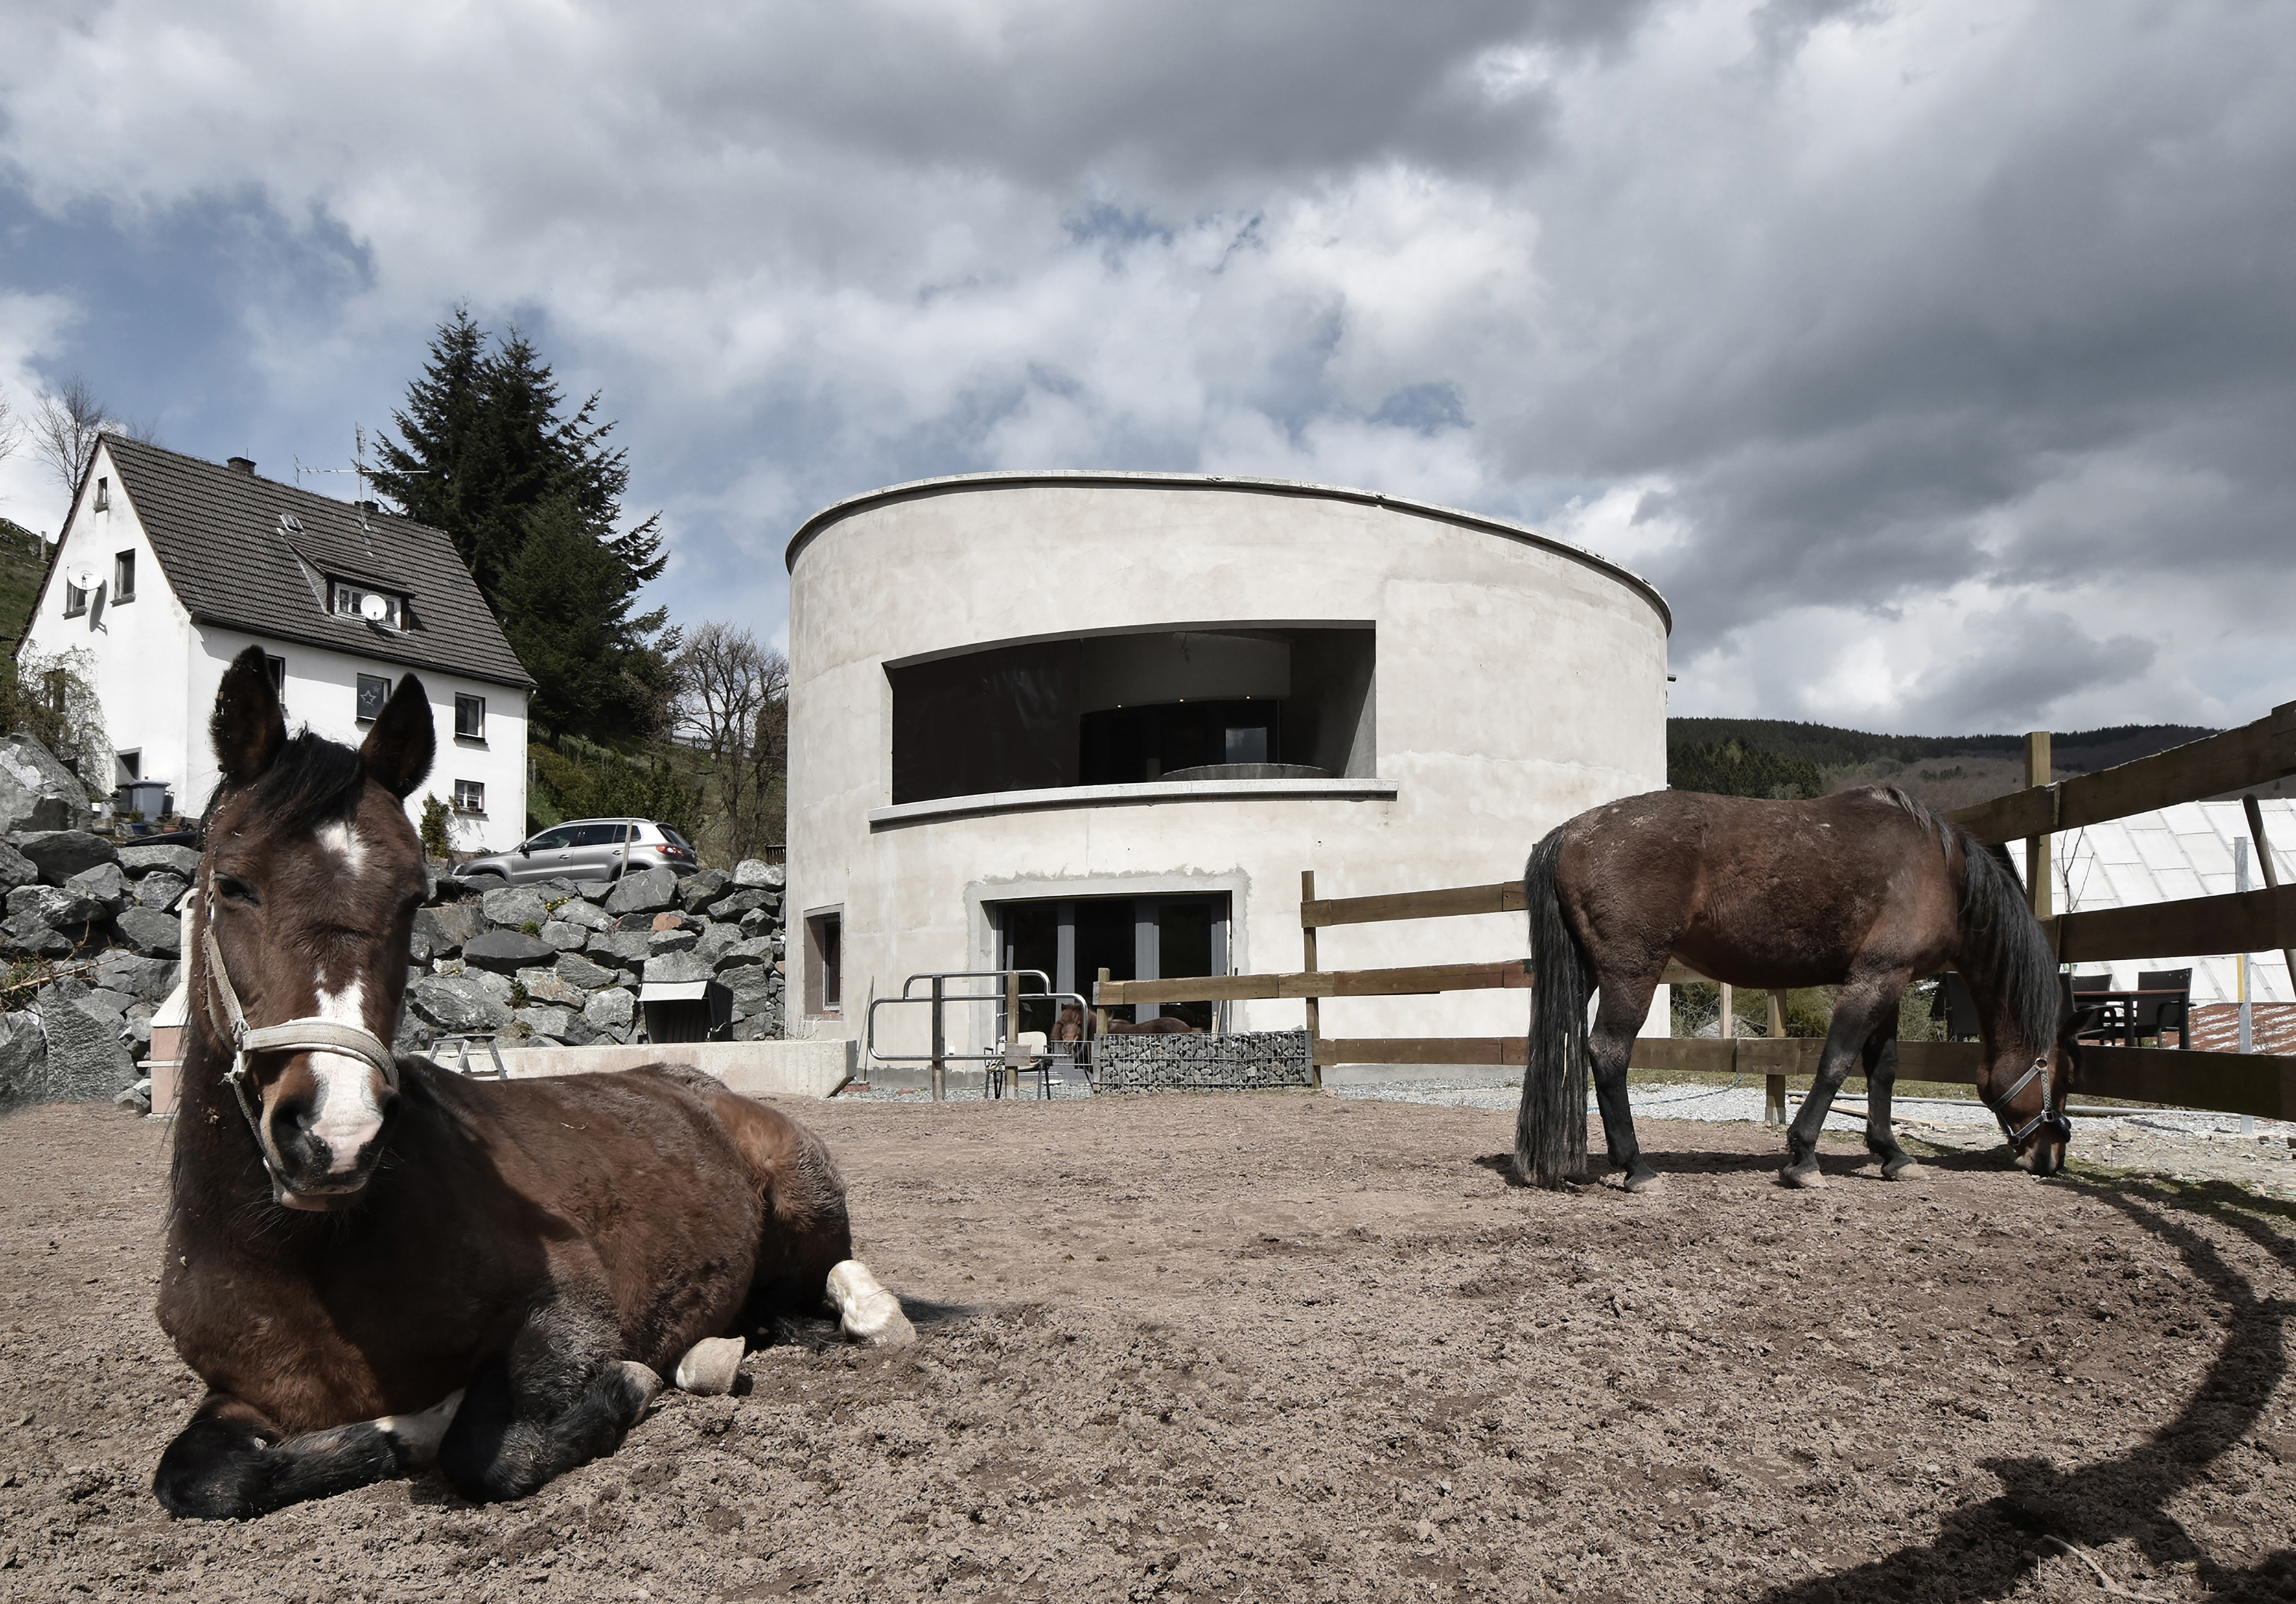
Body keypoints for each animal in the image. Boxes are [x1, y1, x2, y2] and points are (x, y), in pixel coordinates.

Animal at [153, 647, 911, 1521]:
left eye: (414, 899)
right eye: (233, 885)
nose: (336, 1134)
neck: (309, 1261)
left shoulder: (568, 1312)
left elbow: (482, 1452)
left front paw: (625, 1385)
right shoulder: (240, 1394)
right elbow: (199, 1477)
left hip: (805, 1191)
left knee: (837, 1281)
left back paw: (862, 1319)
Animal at [1515, 786, 2083, 1193]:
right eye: (2064, 1075)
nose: (2051, 1156)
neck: (1940, 871)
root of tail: (1568, 833)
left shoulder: (1891, 980)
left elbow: (1882, 1069)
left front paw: (1892, 1154)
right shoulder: (1873, 978)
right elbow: (1835, 1063)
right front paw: (1803, 1158)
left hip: (1590, 971)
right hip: (1631, 972)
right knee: (1608, 1051)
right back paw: (1636, 1167)